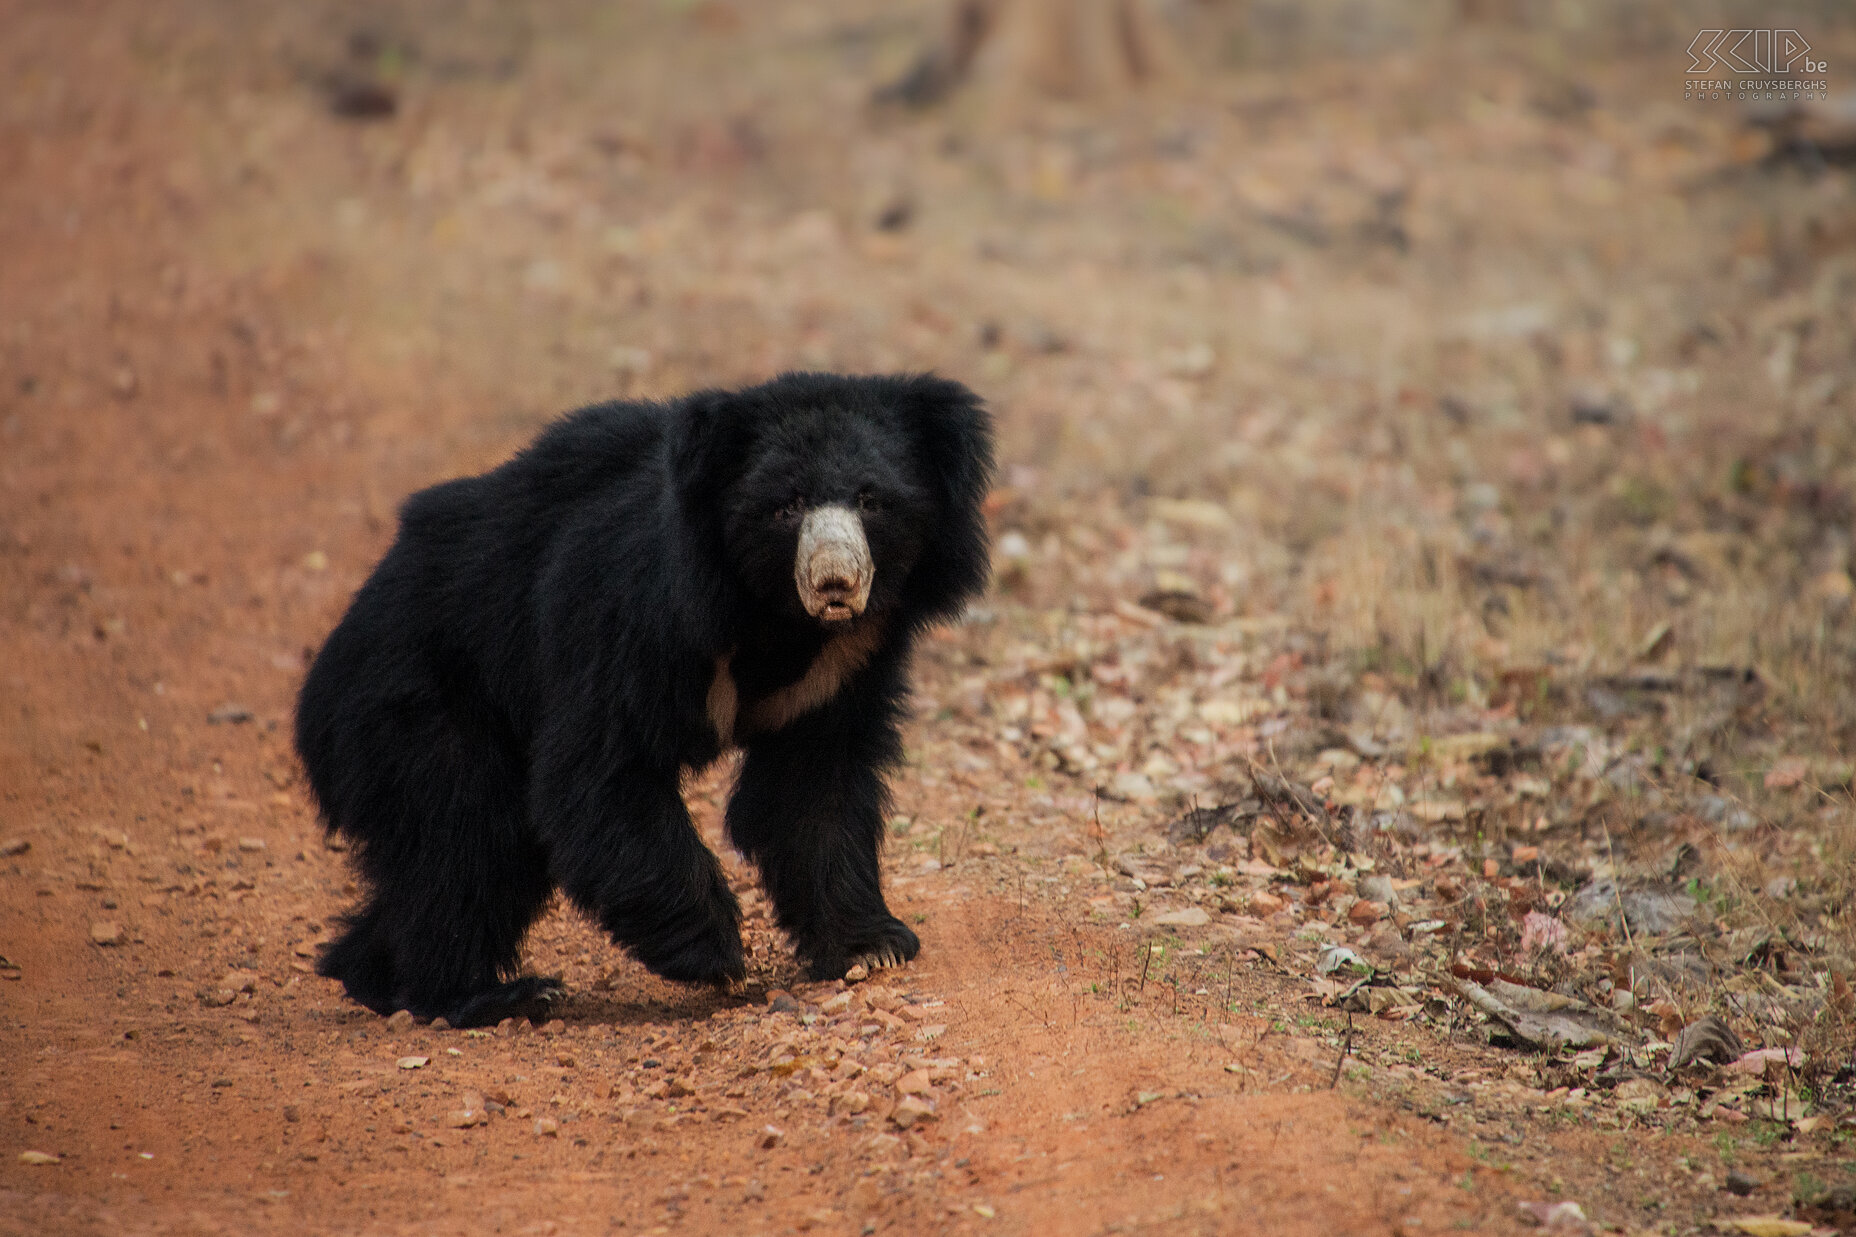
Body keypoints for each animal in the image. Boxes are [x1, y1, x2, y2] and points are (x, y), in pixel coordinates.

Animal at [296, 371, 994, 1025]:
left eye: (872, 500)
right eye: (786, 505)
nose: (834, 584)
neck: (777, 617)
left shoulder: (842, 665)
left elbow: (812, 789)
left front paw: (873, 947)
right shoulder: (633, 605)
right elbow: (602, 767)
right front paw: (719, 954)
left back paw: (371, 976)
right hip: (416, 696)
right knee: (465, 829)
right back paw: (488, 994)